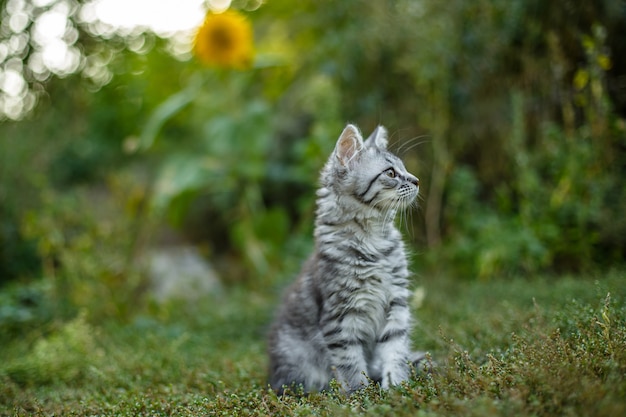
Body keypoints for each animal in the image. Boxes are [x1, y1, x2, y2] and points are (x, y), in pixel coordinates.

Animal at [266, 122, 424, 394]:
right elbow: (351, 365)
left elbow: (395, 350)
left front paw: (397, 387)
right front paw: (361, 395)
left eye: (404, 169)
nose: (416, 180)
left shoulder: (396, 303)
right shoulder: (340, 316)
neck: (373, 240)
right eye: (391, 173)